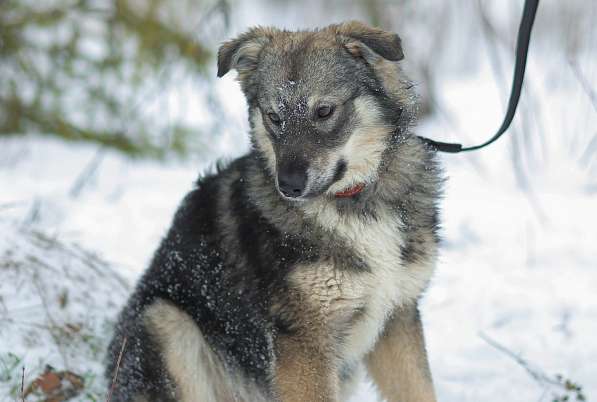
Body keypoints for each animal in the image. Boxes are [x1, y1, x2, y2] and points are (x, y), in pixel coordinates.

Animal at [106, 22, 442, 402]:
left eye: (324, 111)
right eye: (274, 117)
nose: (289, 186)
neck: (355, 201)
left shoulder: (398, 316)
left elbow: (420, 390)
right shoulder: (305, 338)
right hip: (165, 322)